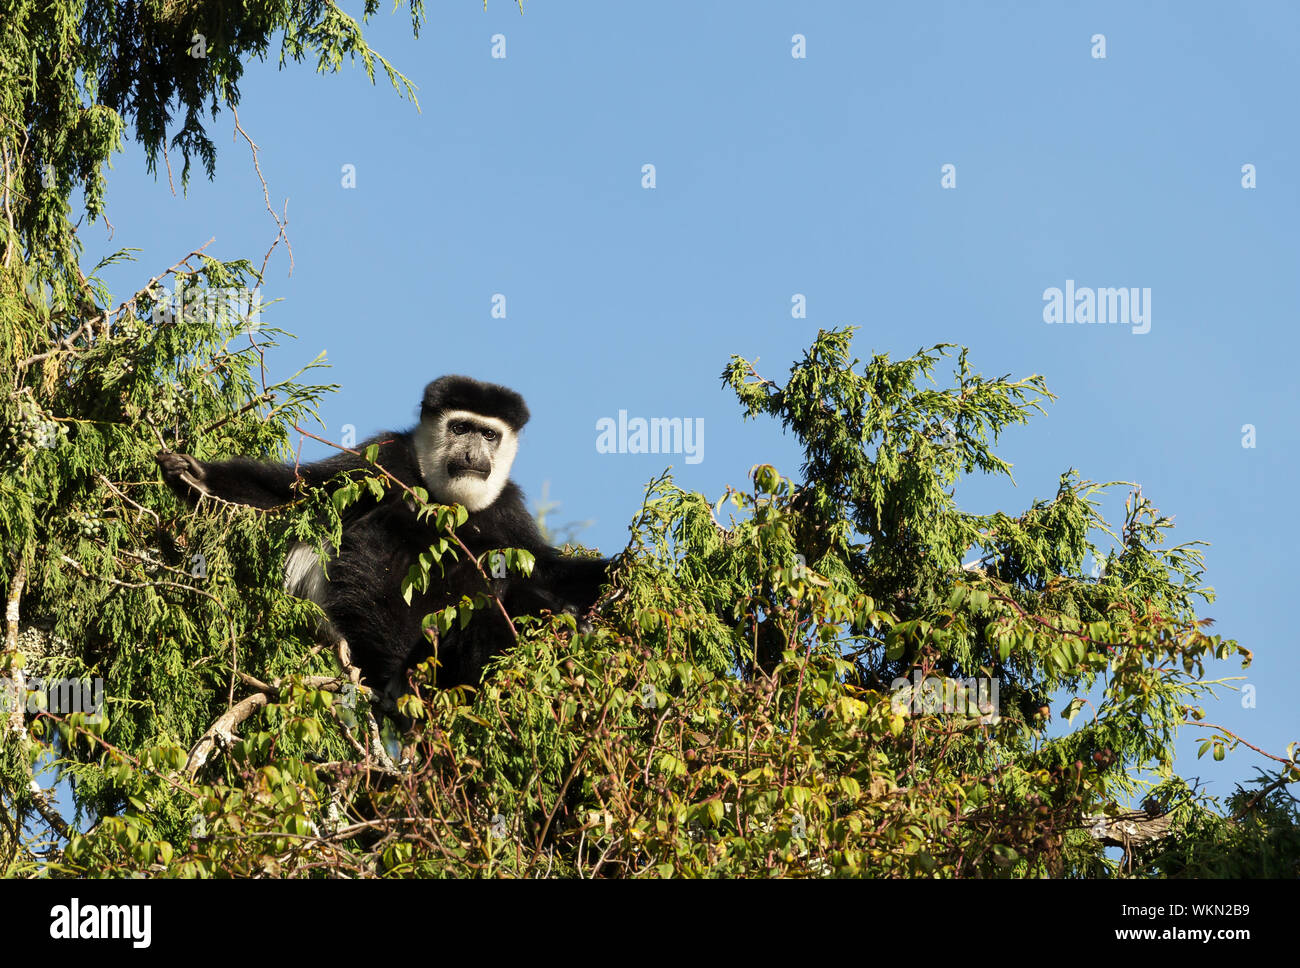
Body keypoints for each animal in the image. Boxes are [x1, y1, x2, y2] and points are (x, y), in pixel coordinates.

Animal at [156, 375, 613, 698]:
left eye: (489, 435)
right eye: (460, 427)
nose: (471, 455)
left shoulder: (508, 510)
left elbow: (544, 567)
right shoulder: (382, 458)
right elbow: (294, 498)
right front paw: (195, 477)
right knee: (395, 532)